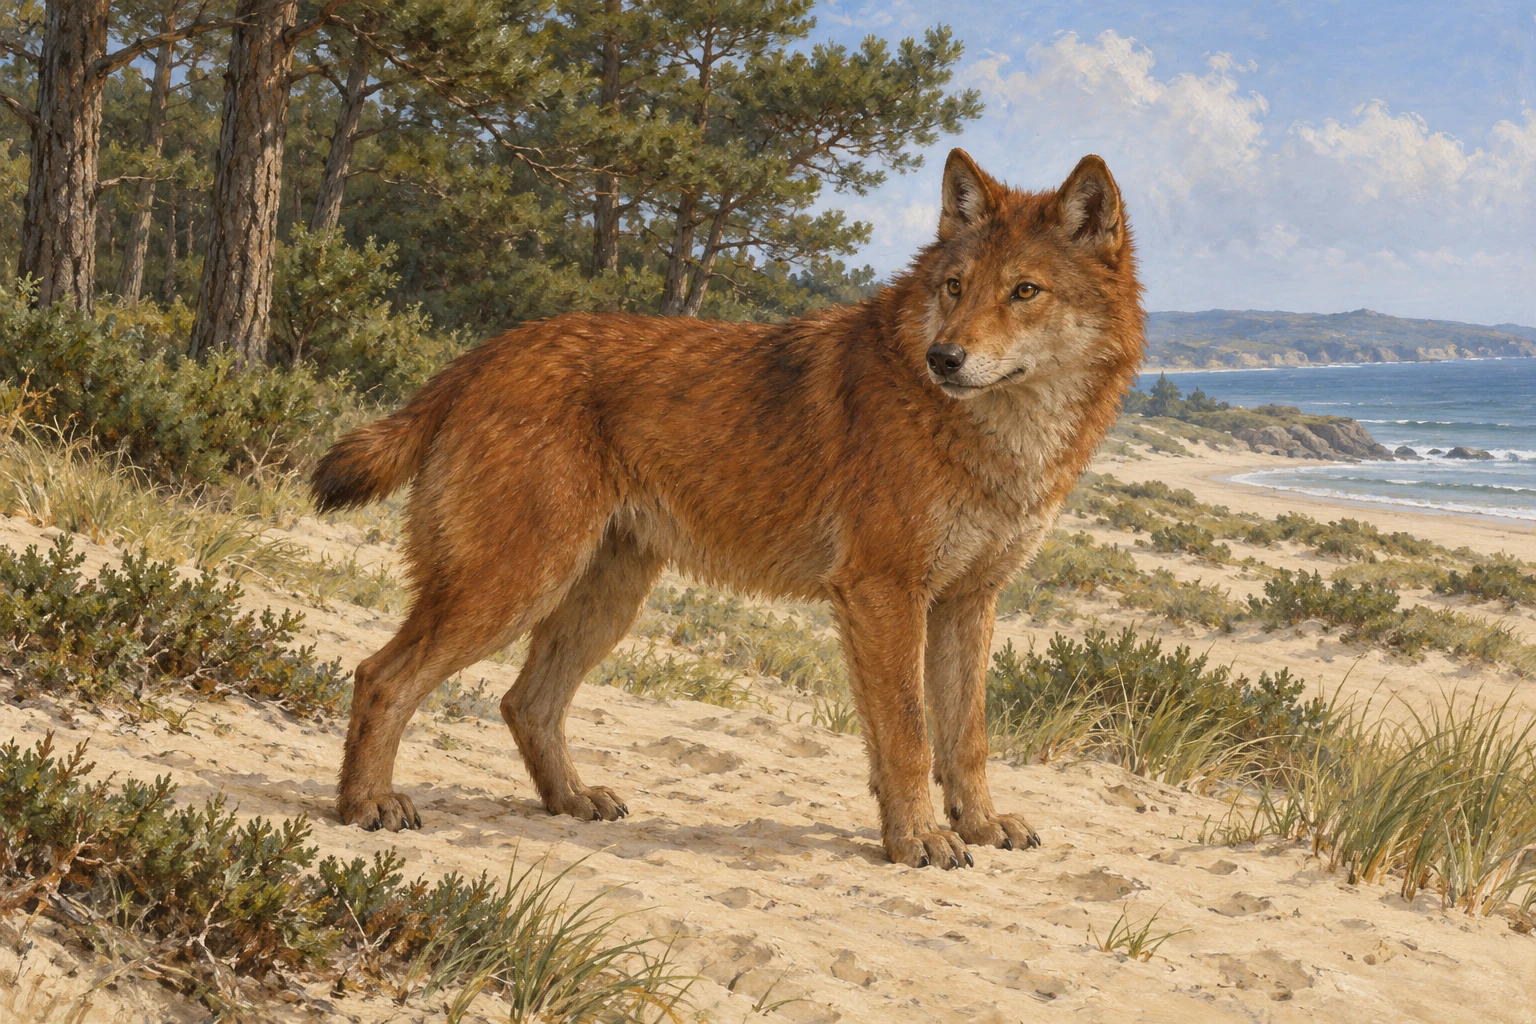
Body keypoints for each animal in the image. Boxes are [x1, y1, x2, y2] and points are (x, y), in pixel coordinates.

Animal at [311, 149, 1144, 868]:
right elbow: (909, 737)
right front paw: (918, 840)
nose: (944, 358)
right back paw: (366, 807)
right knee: (382, 676)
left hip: (602, 601)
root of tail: (484, 354)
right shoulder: (884, 594)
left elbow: (964, 739)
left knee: (526, 703)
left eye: (1024, 291)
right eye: (954, 287)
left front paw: (976, 824)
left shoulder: (968, 603)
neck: (996, 437)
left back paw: (571, 800)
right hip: (511, 587)